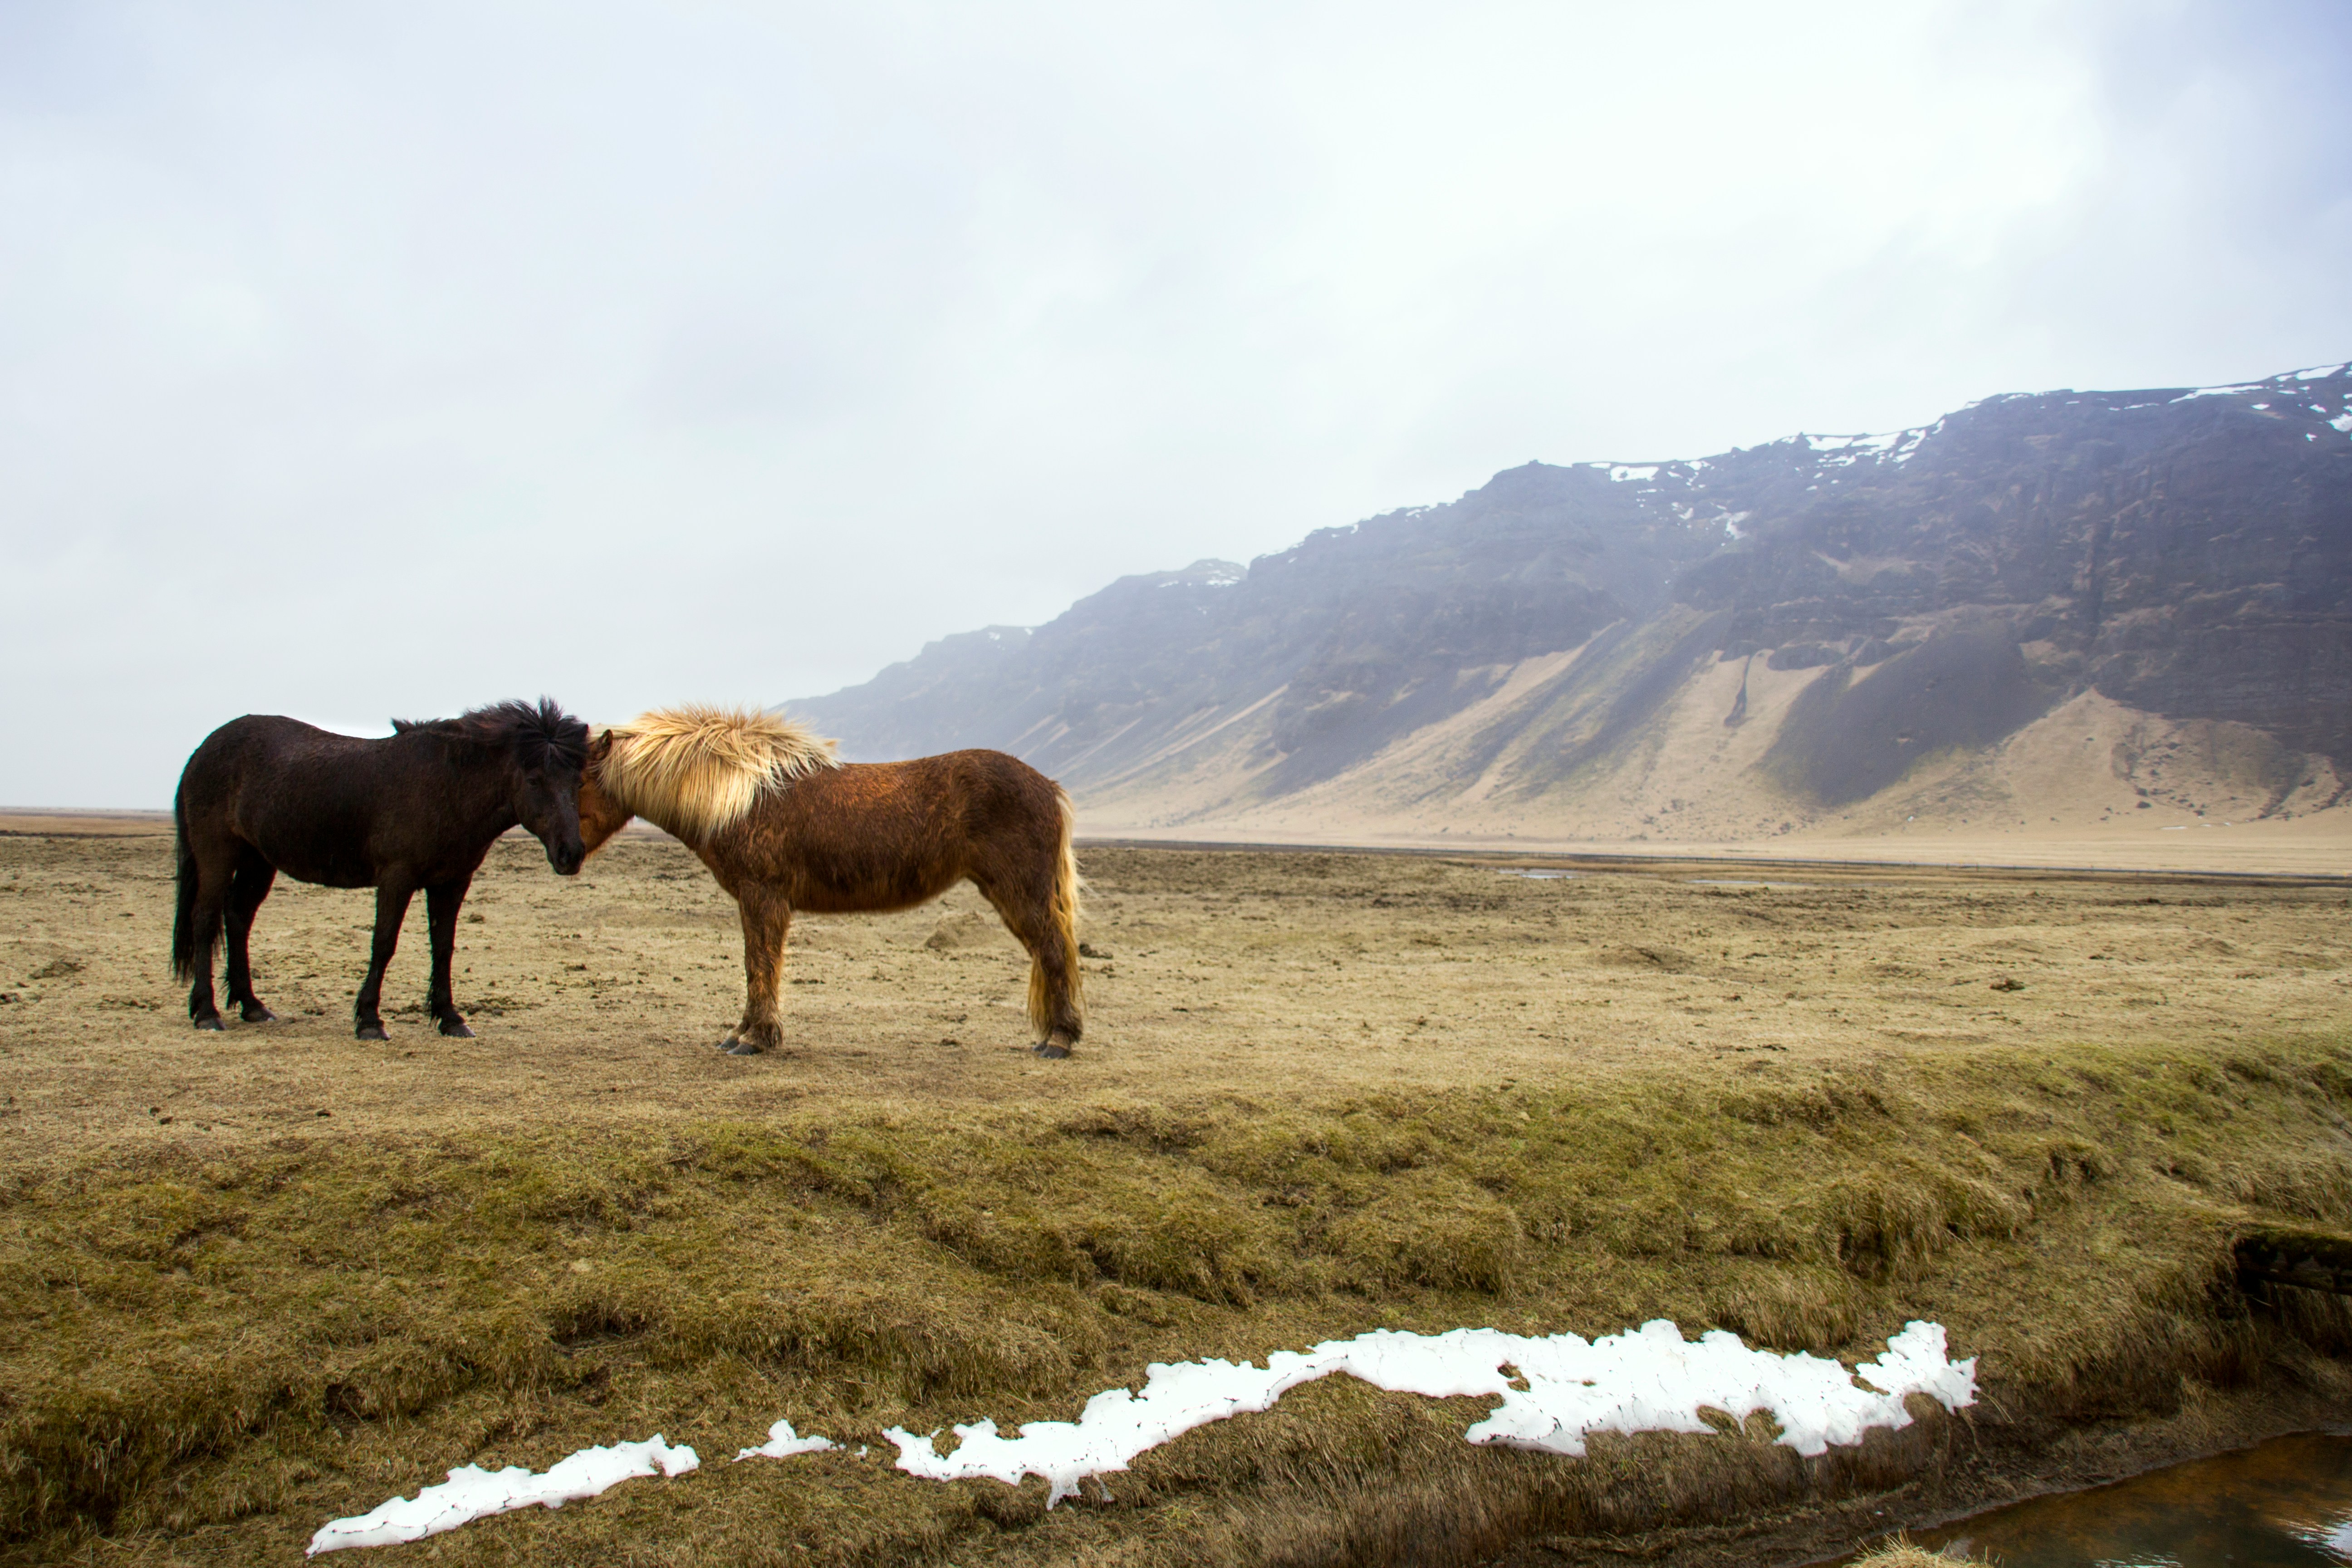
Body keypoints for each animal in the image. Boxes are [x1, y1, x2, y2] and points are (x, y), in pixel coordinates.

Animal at [172, 701, 593, 1044]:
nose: (571, 854)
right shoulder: (396, 879)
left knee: (238, 918)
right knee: (205, 919)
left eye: (578, 781)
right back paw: (207, 1013)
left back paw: (252, 1005)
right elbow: (384, 944)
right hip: (217, 853)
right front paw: (370, 1021)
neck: (447, 786)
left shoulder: (452, 883)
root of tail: (203, 751)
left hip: (258, 860)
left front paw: (450, 1018)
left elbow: (444, 948)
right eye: (535, 780)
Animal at [573, 710, 1087, 1053]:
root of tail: (1049, 787)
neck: (743, 796)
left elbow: (760, 964)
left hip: (1021, 892)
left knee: (1053, 950)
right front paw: (742, 1032)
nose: (566, 857)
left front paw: (756, 1038)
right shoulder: (755, 901)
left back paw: (1060, 1040)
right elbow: (755, 965)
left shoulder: (763, 897)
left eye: (578, 781)